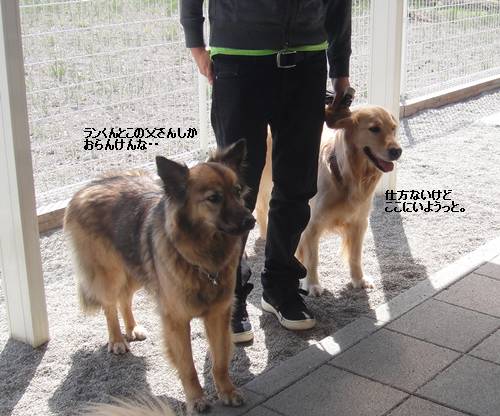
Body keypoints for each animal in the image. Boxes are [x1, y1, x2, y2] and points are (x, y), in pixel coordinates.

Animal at [64, 140, 255, 414]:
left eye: (237, 191)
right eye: (214, 198)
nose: (251, 220)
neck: (202, 257)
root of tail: (86, 188)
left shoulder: (218, 314)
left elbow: (220, 361)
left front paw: (227, 391)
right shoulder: (176, 320)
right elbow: (188, 366)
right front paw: (196, 399)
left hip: (136, 269)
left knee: (125, 299)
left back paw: (132, 329)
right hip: (112, 275)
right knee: (110, 305)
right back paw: (117, 339)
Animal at [256, 105, 402, 296]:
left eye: (393, 128)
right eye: (374, 129)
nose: (397, 151)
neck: (346, 176)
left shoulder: (359, 222)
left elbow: (355, 256)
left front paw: (359, 280)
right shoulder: (311, 225)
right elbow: (312, 258)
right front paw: (312, 285)